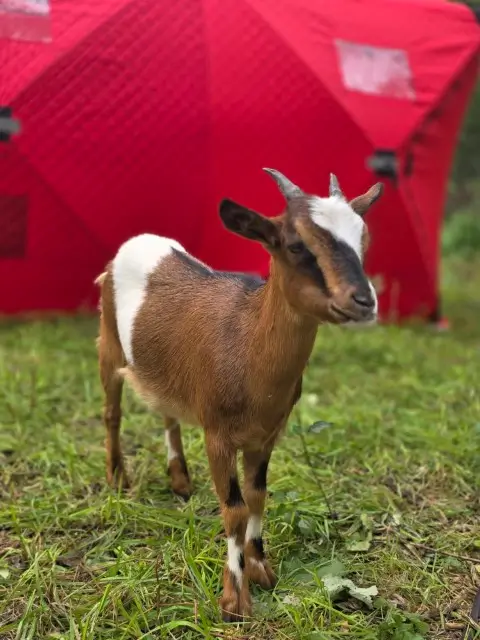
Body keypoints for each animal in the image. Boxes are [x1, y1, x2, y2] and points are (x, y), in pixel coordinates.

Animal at [95, 169, 383, 622]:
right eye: (295, 244)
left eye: (362, 239)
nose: (363, 301)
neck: (248, 348)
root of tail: (137, 241)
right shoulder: (218, 435)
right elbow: (234, 508)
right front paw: (234, 599)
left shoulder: (266, 435)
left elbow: (258, 496)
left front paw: (262, 567)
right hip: (108, 344)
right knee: (112, 412)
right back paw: (118, 479)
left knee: (167, 413)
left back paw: (180, 480)